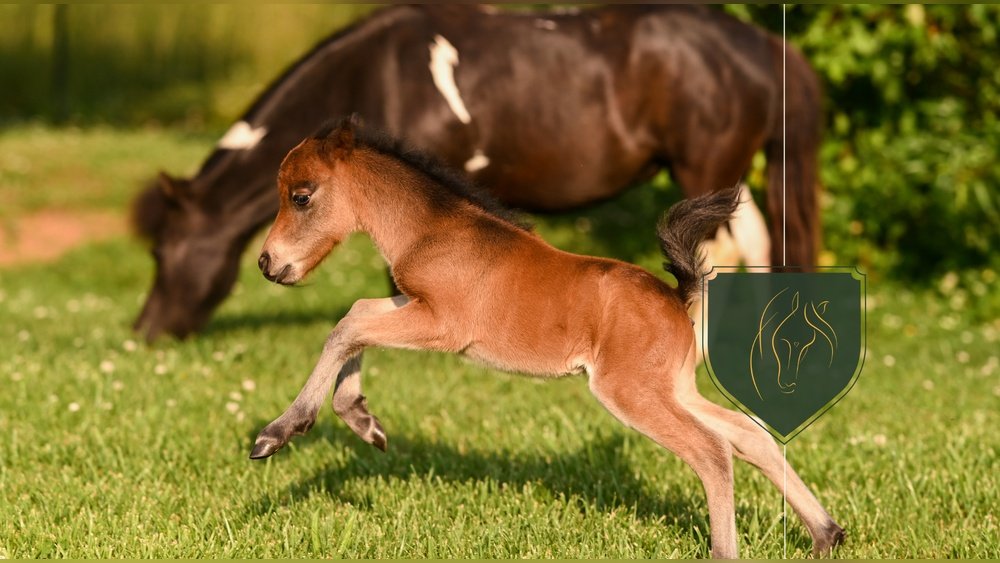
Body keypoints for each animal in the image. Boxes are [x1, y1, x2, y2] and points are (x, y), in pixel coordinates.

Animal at [132, 4, 822, 341]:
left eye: (162, 252)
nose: (145, 332)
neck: (382, 68)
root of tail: (760, 44)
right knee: (756, 244)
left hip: (703, 166)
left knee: (719, 254)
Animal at [249, 117, 843, 558]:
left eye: (301, 196)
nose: (267, 263)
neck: (435, 230)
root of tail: (680, 298)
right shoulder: (416, 308)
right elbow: (356, 317)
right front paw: (362, 420)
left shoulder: (443, 325)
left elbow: (348, 326)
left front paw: (279, 432)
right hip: (672, 388)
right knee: (749, 434)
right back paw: (826, 534)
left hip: (630, 392)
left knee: (713, 450)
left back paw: (731, 550)